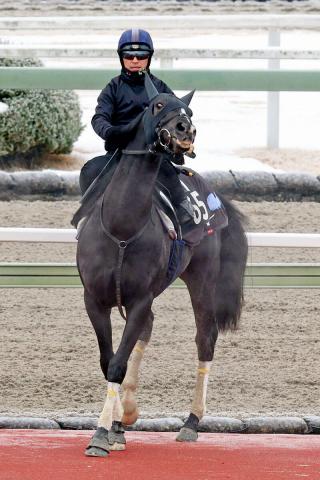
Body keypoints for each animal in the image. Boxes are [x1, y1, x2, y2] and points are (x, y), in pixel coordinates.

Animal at [74, 73, 248, 456]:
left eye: (189, 110)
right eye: (156, 105)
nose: (185, 130)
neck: (123, 229)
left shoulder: (140, 299)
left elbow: (118, 363)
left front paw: (100, 434)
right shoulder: (94, 300)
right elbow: (109, 360)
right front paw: (112, 427)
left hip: (202, 278)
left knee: (205, 337)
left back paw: (191, 422)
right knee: (148, 332)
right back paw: (124, 420)